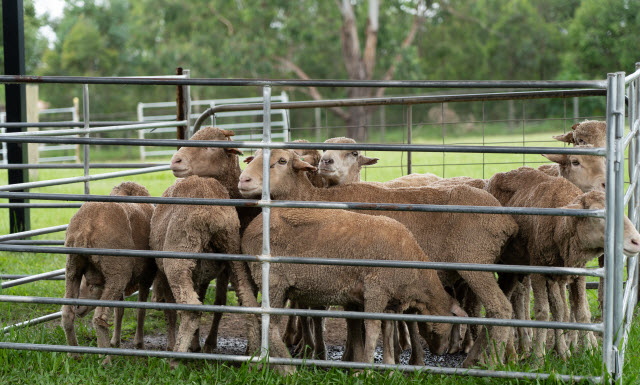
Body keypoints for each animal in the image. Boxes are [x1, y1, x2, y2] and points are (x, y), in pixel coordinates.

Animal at [239, 147, 520, 366]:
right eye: (252, 157)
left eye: (281, 161)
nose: (244, 181)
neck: (311, 198)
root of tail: (507, 220)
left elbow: (357, 323)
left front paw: (354, 358)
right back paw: (501, 357)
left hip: (474, 263)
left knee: (500, 308)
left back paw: (487, 361)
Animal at [484, 166, 640, 358]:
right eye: (597, 215)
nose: (636, 241)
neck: (561, 223)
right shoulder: (538, 270)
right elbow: (543, 313)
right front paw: (539, 356)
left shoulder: (574, 272)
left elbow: (576, 312)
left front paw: (581, 351)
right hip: (507, 263)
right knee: (513, 299)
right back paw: (516, 347)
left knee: (520, 297)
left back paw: (524, 344)